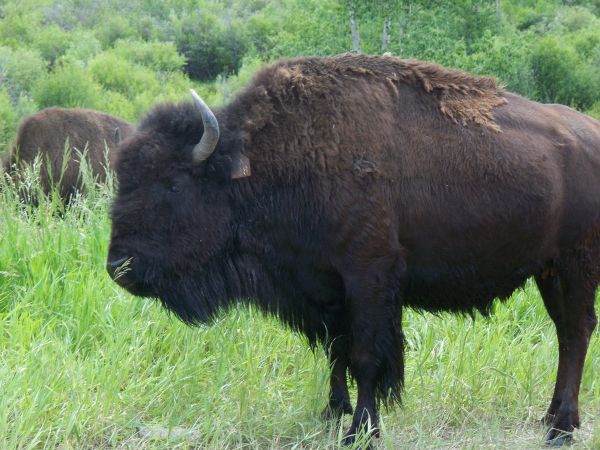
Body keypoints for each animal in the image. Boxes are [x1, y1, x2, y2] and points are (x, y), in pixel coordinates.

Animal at [105, 54, 596, 444]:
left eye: (173, 183)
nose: (118, 267)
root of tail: (588, 133)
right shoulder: (326, 285)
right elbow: (336, 349)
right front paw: (332, 411)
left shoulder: (368, 276)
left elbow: (365, 355)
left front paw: (361, 429)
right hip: (548, 271)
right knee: (565, 334)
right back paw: (551, 418)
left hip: (576, 265)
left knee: (576, 331)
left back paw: (561, 429)